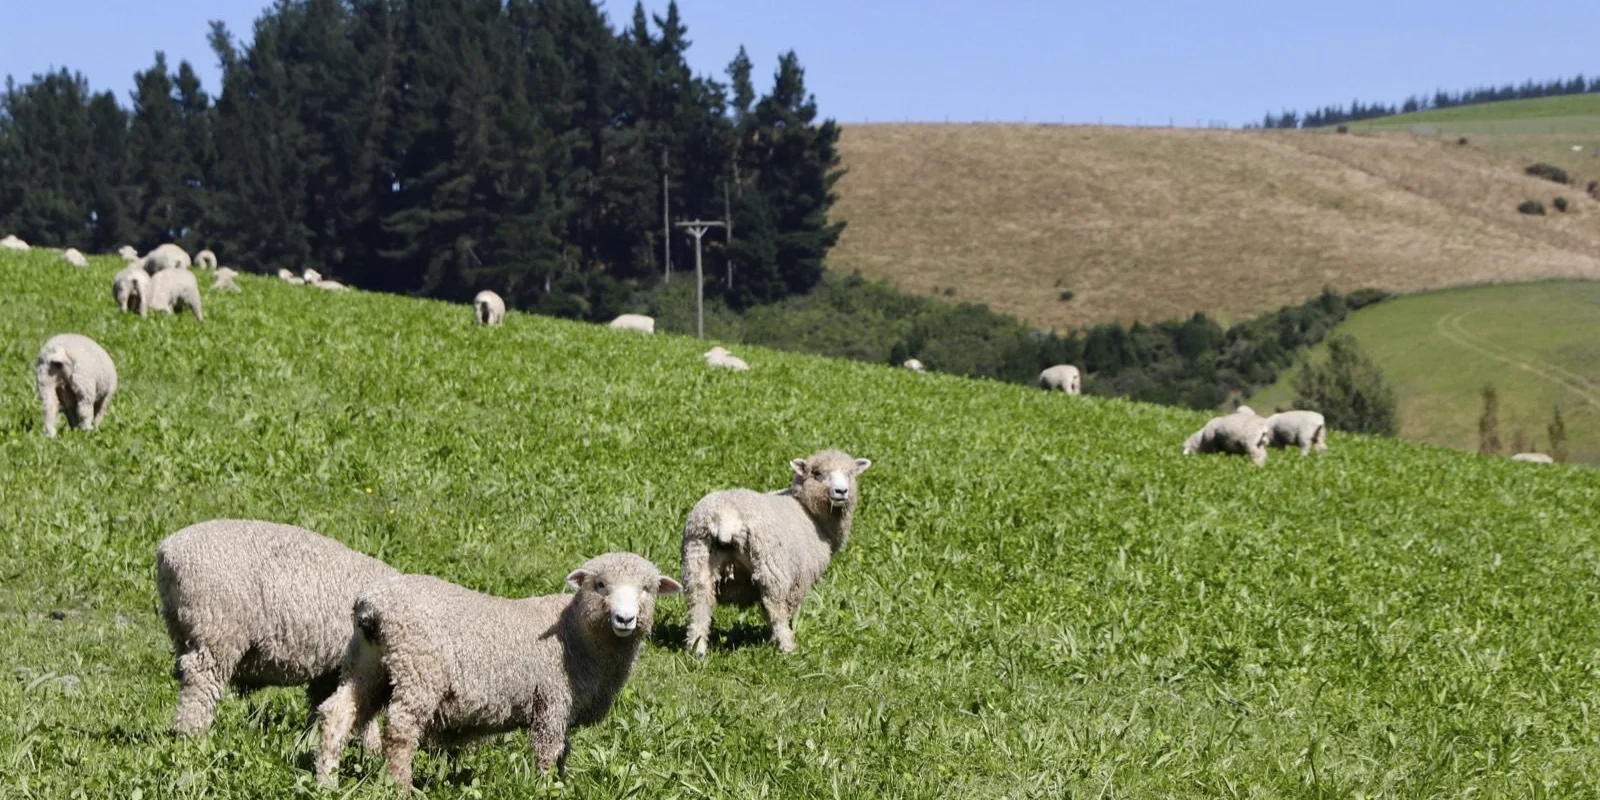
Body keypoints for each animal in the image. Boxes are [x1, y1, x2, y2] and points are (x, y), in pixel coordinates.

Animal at [156, 519, 401, 736]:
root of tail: (167, 554)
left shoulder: (331, 670)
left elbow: (324, 702)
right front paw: (370, 747)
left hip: (184, 630)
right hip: (216, 632)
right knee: (199, 683)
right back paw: (192, 735)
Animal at [314, 552, 681, 790]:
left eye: (647, 589)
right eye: (601, 585)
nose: (625, 619)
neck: (575, 632)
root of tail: (372, 606)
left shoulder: (564, 708)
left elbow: (564, 751)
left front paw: (561, 783)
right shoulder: (552, 701)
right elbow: (548, 751)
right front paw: (543, 787)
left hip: (365, 664)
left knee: (337, 714)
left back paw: (325, 781)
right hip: (419, 671)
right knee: (401, 731)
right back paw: (399, 786)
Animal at [682, 449, 873, 658]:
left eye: (850, 473)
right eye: (816, 473)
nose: (841, 491)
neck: (808, 511)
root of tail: (726, 518)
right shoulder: (799, 581)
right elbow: (789, 614)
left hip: (697, 561)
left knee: (699, 609)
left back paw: (697, 651)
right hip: (771, 570)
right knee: (775, 611)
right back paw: (788, 649)